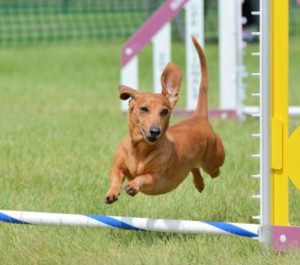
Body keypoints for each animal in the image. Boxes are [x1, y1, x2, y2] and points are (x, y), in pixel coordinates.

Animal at [104, 36, 224, 202]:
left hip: (214, 162)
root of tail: (199, 118)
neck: (140, 150)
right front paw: (112, 193)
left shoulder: (155, 176)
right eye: (144, 109)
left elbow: (143, 177)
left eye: (164, 111)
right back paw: (199, 183)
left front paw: (133, 185)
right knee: (194, 167)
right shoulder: (118, 167)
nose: (155, 131)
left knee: (215, 171)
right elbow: (116, 176)